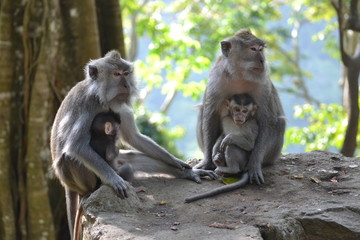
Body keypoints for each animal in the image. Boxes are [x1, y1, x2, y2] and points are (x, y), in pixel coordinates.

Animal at [50, 49, 217, 239]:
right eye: (116, 74)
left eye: (126, 73)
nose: (126, 85)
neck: (102, 98)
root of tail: (67, 185)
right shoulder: (88, 105)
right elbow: (76, 146)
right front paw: (114, 179)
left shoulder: (118, 106)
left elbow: (134, 137)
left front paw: (178, 163)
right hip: (75, 179)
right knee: (69, 158)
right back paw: (94, 190)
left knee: (131, 159)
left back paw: (184, 173)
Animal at [195, 28, 286, 186]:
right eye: (253, 49)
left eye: (261, 49)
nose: (262, 60)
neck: (239, 75)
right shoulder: (216, 79)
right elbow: (210, 114)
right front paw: (207, 162)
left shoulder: (263, 85)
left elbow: (267, 120)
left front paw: (254, 165)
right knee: (202, 109)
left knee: (279, 122)